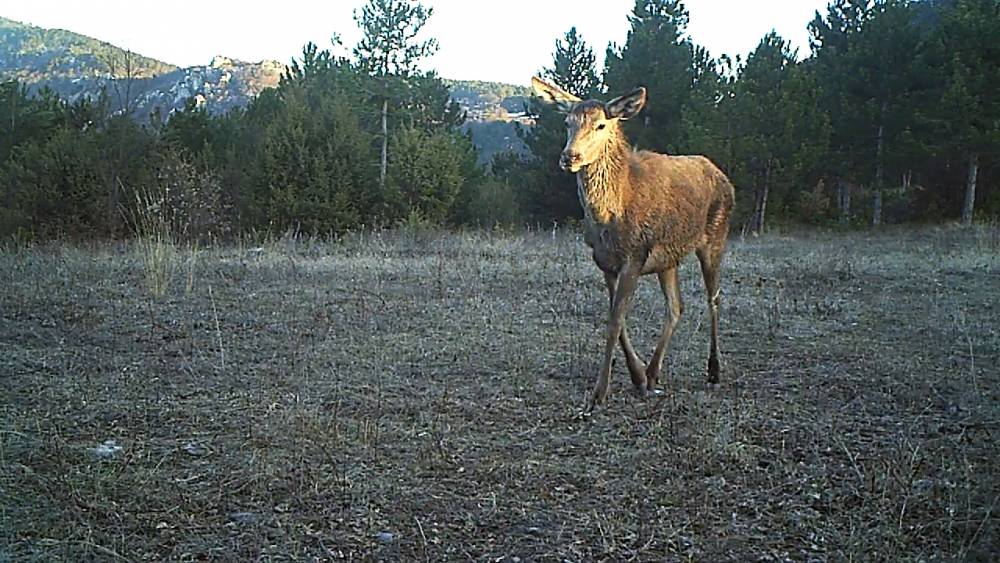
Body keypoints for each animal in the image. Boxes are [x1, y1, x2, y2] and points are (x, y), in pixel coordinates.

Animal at [532, 76, 736, 410]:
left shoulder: (635, 255)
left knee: (714, 298)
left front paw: (598, 394)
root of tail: (723, 177)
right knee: (676, 306)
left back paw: (714, 370)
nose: (570, 157)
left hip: (716, 235)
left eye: (601, 124)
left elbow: (615, 321)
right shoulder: (604, 262)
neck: (612, 214)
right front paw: (638, 376)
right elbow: (618, 318)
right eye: (567, 122)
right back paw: (653, 373)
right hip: (669, 259)